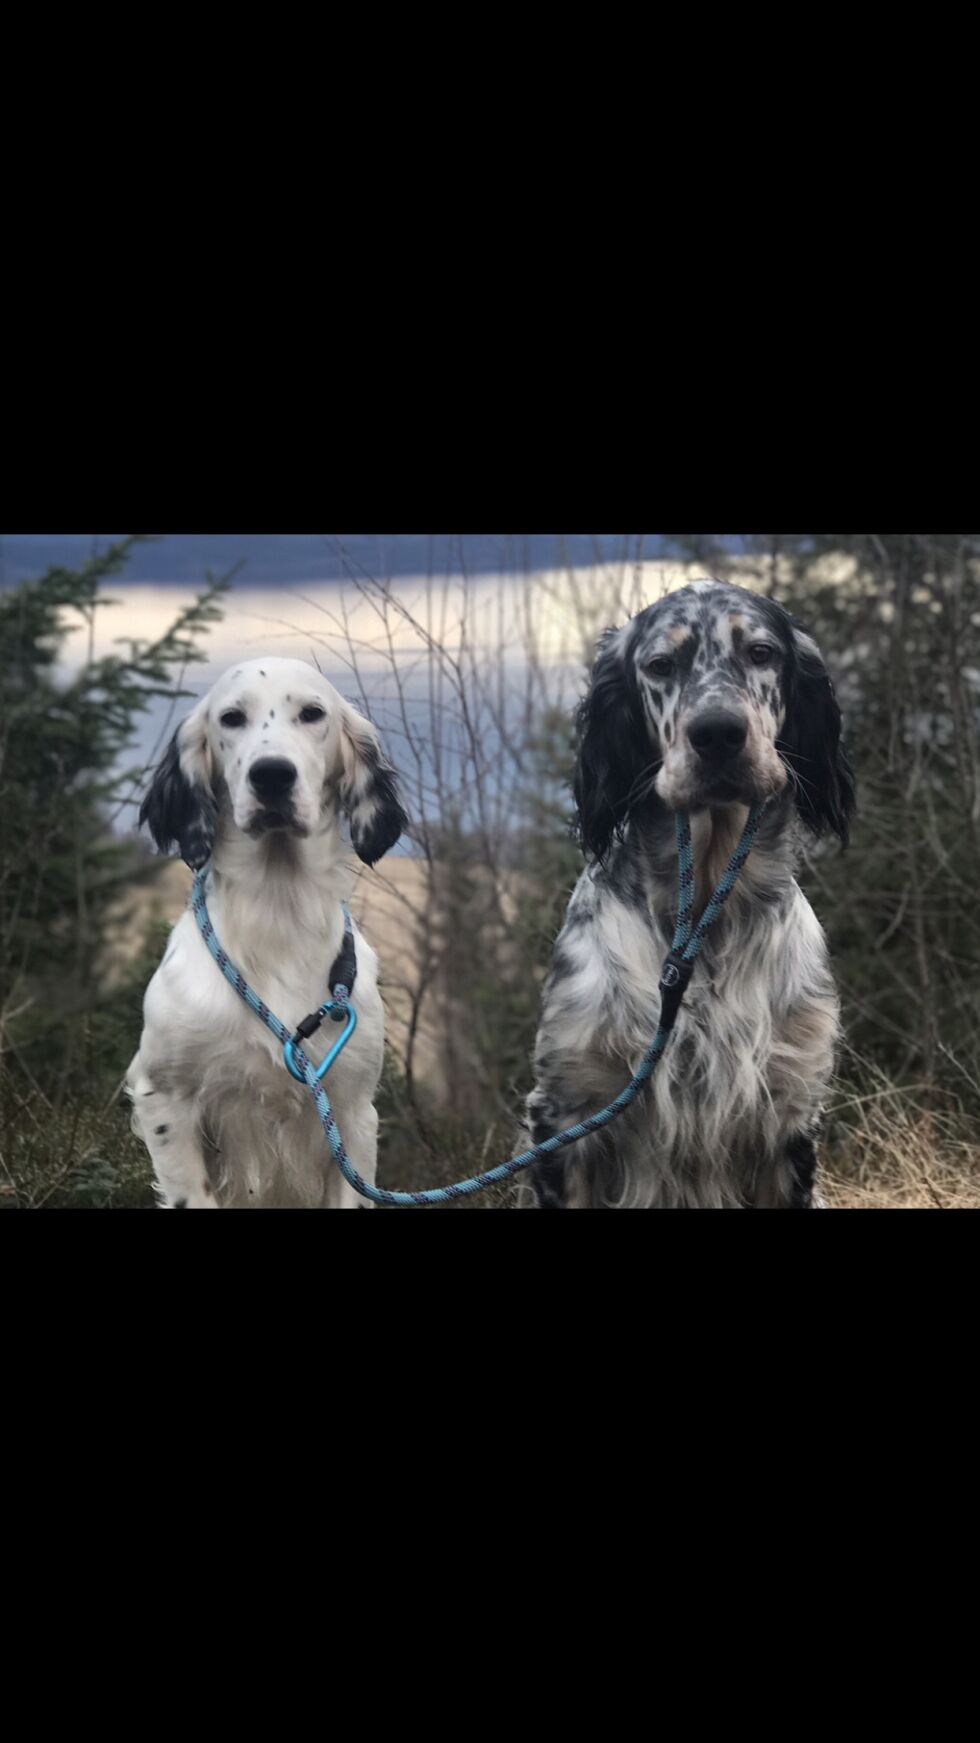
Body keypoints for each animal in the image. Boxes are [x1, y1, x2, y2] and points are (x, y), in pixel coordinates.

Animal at [124, 655, 404, 1213]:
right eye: (232, 718)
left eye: (313, 713)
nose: (272, 774)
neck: (277, 913)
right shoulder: (165, 1096)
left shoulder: (353, 1111)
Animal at [523, 578, 850, 1206]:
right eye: (660, 665)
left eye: (761, 653)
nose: (717, 733)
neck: (705, 917)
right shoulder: (566, 1113)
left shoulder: (790, 1115)